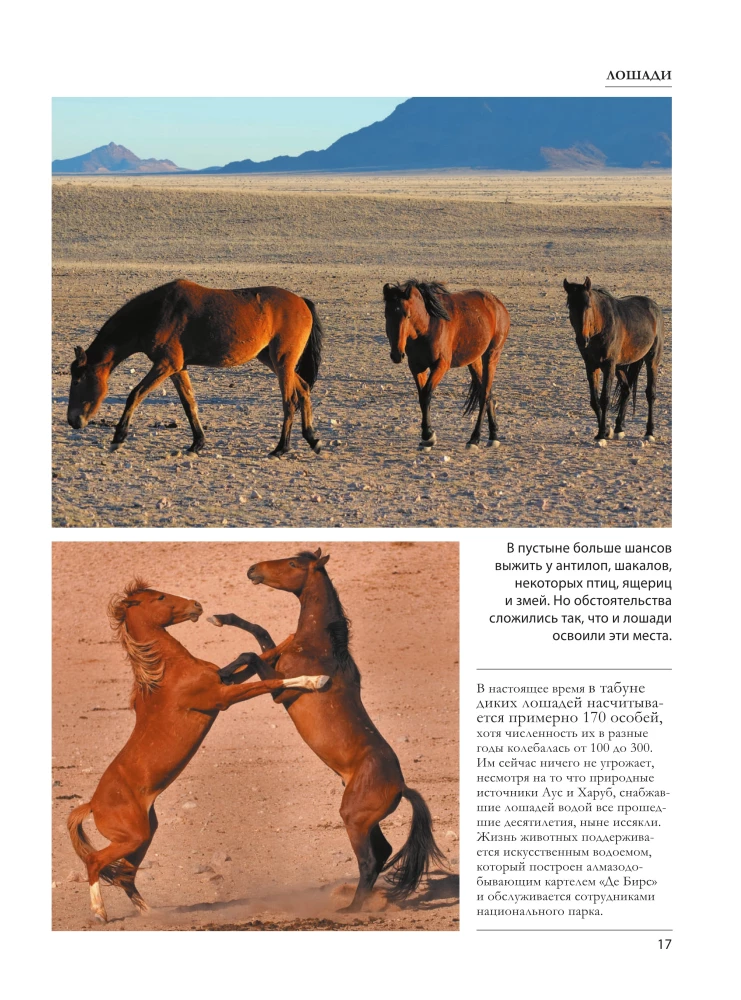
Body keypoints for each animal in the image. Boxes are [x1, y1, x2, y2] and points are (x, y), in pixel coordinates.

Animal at [66, 279, 324, 458]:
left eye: (77, 380)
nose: (73, 421)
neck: (155, 313)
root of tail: (302, 302)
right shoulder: (178, 368)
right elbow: (189, 404)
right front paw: (197, 443)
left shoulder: (166, 364)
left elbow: (135, 395)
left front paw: (118, 437)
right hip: (272, 360)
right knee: (303, 389)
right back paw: (312, 439)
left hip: (282, 361)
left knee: (290, 401)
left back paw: (281, 448)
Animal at [67, 579, 328, 923]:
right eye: (160, 597)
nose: (196, 605)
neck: (168, 672)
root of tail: (92, 805)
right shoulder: (223, 697)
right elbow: (271, 681)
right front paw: (317, 679)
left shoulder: (223, 681)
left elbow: (253, 655)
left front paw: (287, 639)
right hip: (131, 838)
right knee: (96, 861)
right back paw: (100, 912)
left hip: (144, 835)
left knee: (125, 874)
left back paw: (150, 913)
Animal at [210, 549, 445, 912]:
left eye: (294, 564)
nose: (252, 570)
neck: (319, 646)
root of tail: (402, 786)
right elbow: (260, 635)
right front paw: (222, 622)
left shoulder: (280, 691)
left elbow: (253, 654)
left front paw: (223, 671)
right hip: (366, 821)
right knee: (384, 852)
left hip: (353, 819)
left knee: (370, 861)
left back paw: (350, 910)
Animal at [382, 279, 510, 449]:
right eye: (386, 315)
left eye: (408, 315)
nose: (397, 354)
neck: (428, 326)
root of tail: (497, 304)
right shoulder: (416, 367)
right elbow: (422, 397)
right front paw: (427, 436)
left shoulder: (440, 365)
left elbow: (427, 394)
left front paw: (428, 435)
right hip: (474, 360)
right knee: (488, 394)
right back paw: (493, 435)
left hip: (491, 356)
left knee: (484, 395)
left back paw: (474, 439)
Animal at [563, 277, 664, 444]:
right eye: (570, 305)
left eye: (588, 305)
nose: (582, 340)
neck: (600, 328)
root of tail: (654, 307)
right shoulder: (591, 366)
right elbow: (594, 401)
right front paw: (605, 431)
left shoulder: (608, 366)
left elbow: (605, 399)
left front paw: (601, 435)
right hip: (620, 366)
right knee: (626, 390)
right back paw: (618, 428)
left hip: (652, 361)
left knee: (650, 394)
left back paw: (649, 432)